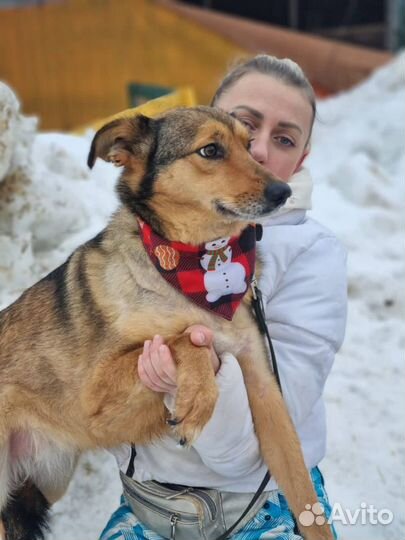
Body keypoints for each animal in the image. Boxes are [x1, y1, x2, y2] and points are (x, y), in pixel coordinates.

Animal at [0, 106, 332, 540]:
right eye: (210, 150)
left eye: (249, 145)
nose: (283, 192)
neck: (200, 268)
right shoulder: (95, 393)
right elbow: (188, 341)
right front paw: (195, 399)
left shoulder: (265, 391)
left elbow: (304, 494)